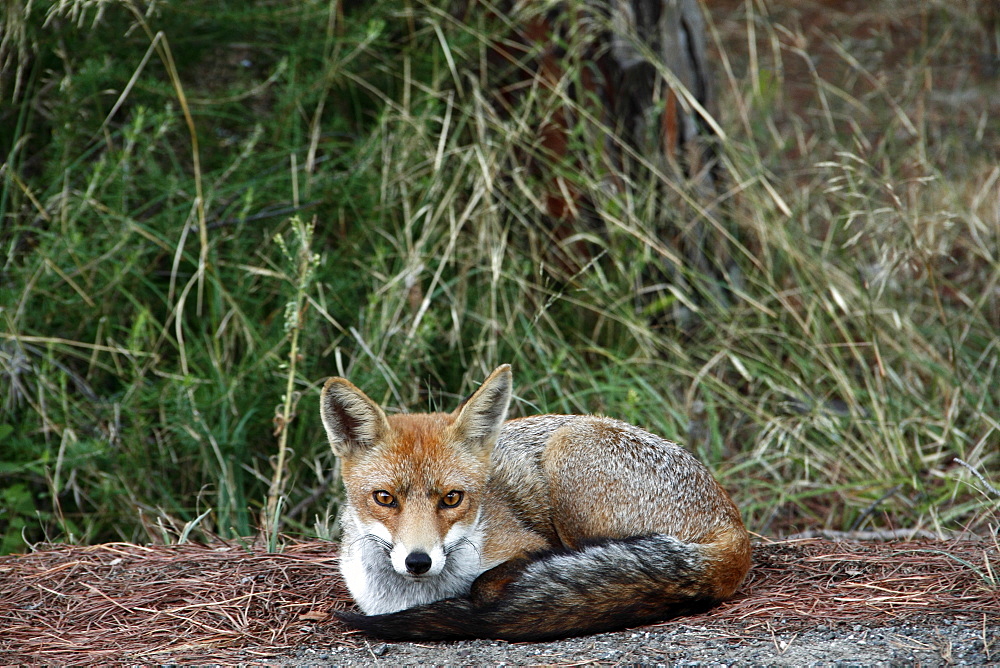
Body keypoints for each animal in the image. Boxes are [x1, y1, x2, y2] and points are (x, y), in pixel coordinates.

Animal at [320, 366, 752, 640]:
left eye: (452, 498)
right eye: (384, 498)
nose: (418, 561)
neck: (414, 596)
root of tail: (734, 526)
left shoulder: (525, 545)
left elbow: (486, 585)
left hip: (568, 454)